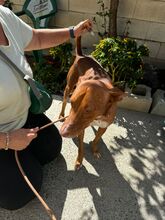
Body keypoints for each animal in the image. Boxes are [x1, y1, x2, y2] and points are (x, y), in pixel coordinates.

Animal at [59, 37, 125, 169]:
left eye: (88, 110)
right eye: (72, 103)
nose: (62, 132)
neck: (98, 117)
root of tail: (82, 56)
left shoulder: (104, 126)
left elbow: (96, 140)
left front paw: (94, 150)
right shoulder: (81, 128)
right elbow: (81, 148)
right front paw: (79, 161)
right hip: (69, 88)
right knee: (63, 101)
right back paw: (62, 115)